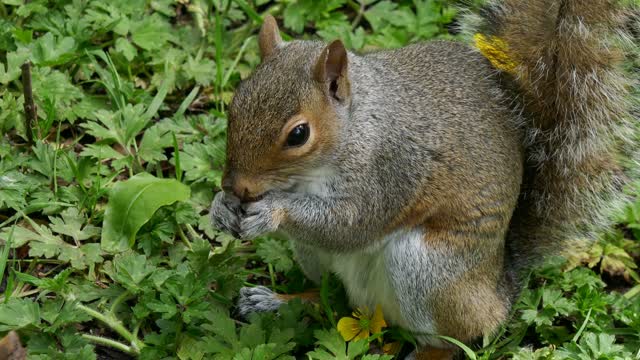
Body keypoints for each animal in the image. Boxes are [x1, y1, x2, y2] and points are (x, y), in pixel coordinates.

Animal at [211, 1, 640, 358]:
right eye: (235, 101)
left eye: (299, 134)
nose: (238, 187)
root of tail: (500, 291)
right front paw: (221, 208)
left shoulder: (395, 169)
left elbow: (350, 225)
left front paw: (272, 213)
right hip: (315, 257)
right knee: (333, 297)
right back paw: (276, 302)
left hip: (427, 270)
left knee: (447, 342)